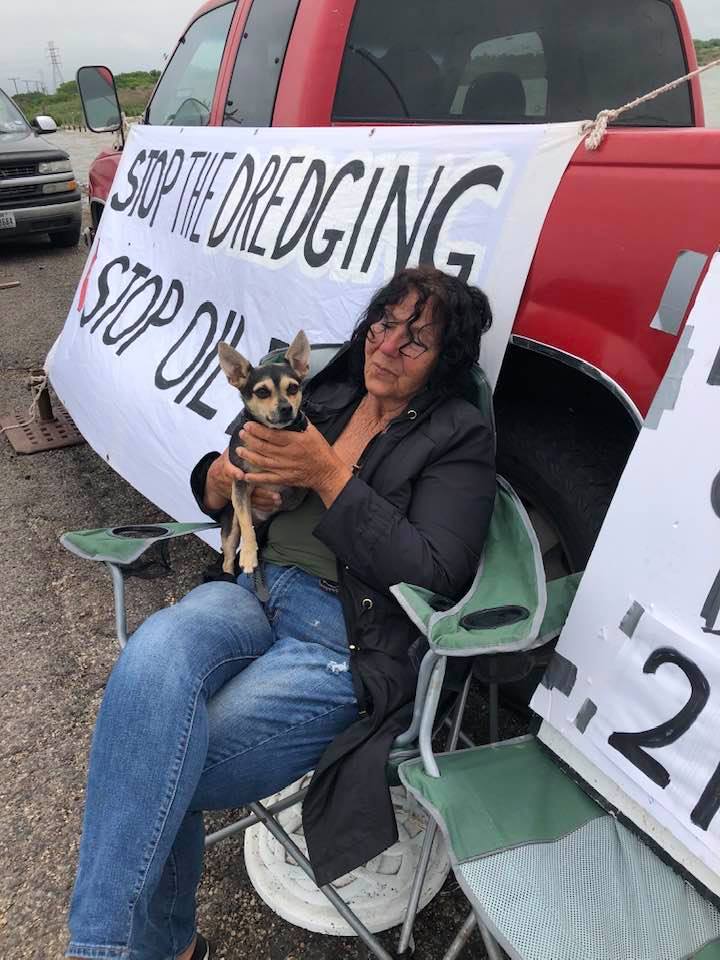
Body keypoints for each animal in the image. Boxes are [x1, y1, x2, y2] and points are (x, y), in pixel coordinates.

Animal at [218, 332, 310, 568]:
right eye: (261, 392)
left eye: (293, 388)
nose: (286, 408)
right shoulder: (240, 484)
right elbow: (246, 526)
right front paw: (249, 554)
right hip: (231, 526)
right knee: (229, 558)